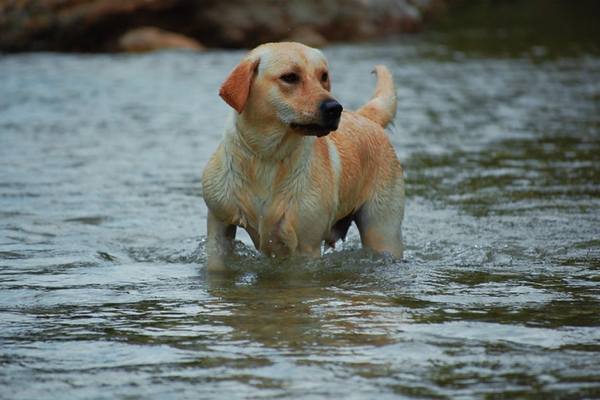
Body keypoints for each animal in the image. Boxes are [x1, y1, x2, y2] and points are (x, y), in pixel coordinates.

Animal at [204, 42, 406, 270]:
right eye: (290, 77)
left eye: (324, 76)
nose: (335, 108)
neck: (267, 156)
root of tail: (366, 117)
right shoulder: (219, 227)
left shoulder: (305, 248)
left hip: (382, 229)